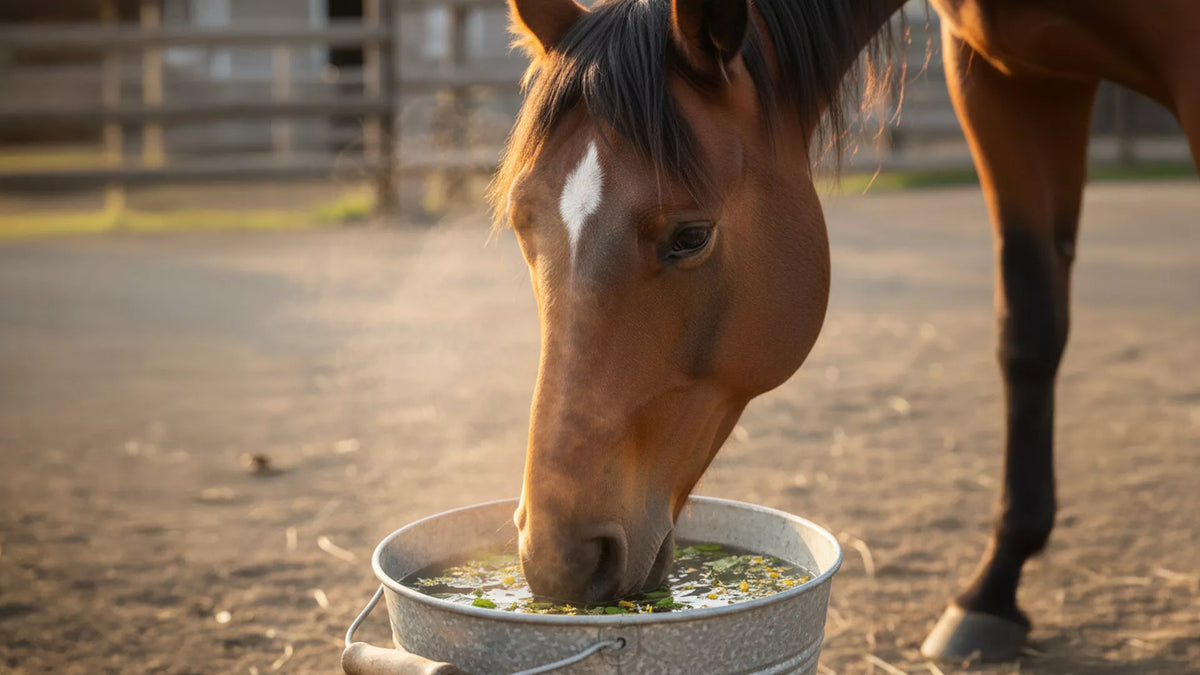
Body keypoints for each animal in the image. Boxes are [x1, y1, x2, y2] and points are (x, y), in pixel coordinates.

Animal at [493, 0, 1200, 662]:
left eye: (690, 236)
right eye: (523, 224)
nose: (559, 557)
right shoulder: (1003, 82)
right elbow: (1028, 331)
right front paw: (991, 593)